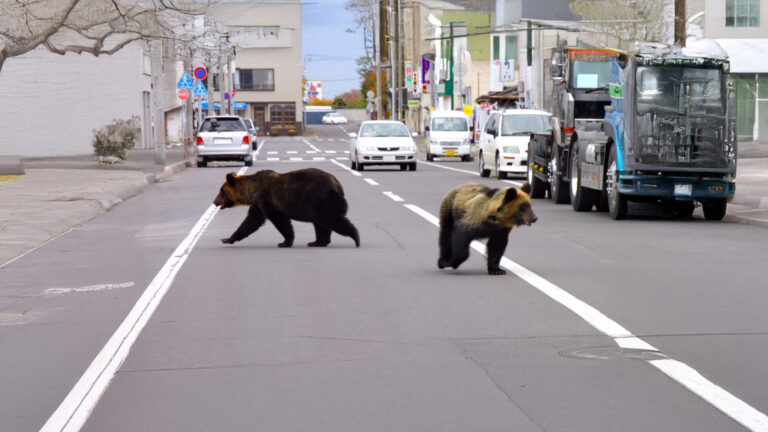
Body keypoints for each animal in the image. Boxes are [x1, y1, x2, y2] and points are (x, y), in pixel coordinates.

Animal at [213, 168, 360, 248]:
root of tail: (338, 185)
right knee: (320, 224)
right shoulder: (259, 205)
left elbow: (280, 221)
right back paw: (317, 242)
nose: (214, 202)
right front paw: (227, 239)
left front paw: (284, 242)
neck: (253, 191)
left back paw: (356, 237)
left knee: (331, 219)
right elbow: (250, 222)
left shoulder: (268, 200)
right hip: (317, 205)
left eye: (221, 191)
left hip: (320, 200)